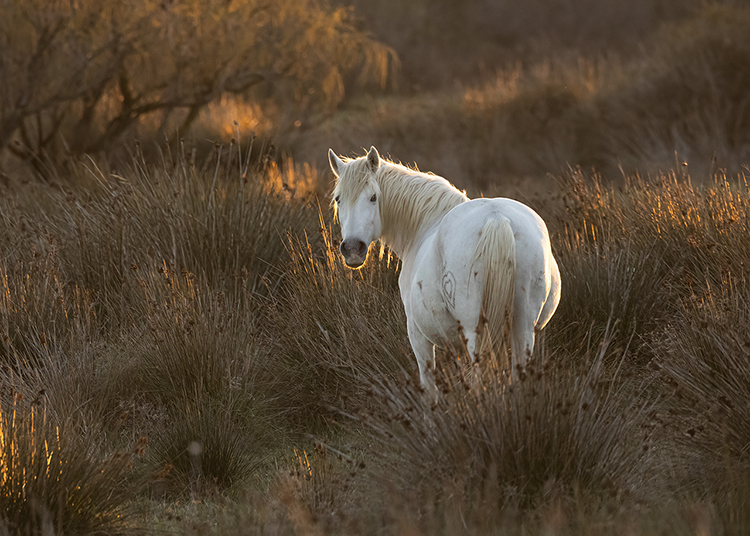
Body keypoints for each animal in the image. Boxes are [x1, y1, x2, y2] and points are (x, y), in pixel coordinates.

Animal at [328, 149, 560, 392]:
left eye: (374, 197)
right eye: (338, 199)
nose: (353, 249)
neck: (424, 225)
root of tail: (497, 218)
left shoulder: (417, 333)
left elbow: (429, 385)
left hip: (476, 333)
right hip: (523, 329)